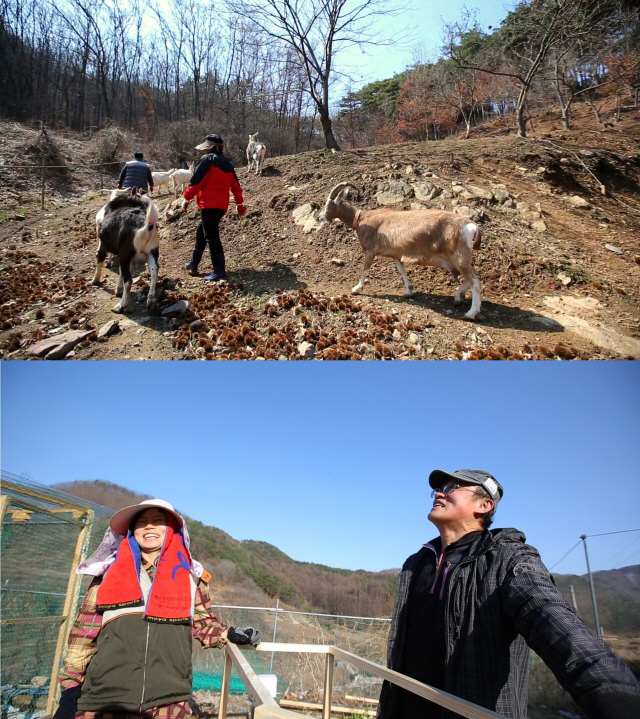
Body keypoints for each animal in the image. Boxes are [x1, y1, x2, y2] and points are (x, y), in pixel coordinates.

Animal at [318, 184, 482, 320]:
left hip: (458, 256)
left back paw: (470, 313)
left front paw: (356, 289)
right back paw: (459, 297)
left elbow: (365, 269)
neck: (362, 219)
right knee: (471, 278)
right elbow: (402, 270)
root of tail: (470, 225)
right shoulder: (396, 254)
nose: (320, 217)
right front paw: (409, 292)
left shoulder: (370, 251)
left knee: (475, 282)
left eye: (328, 204)